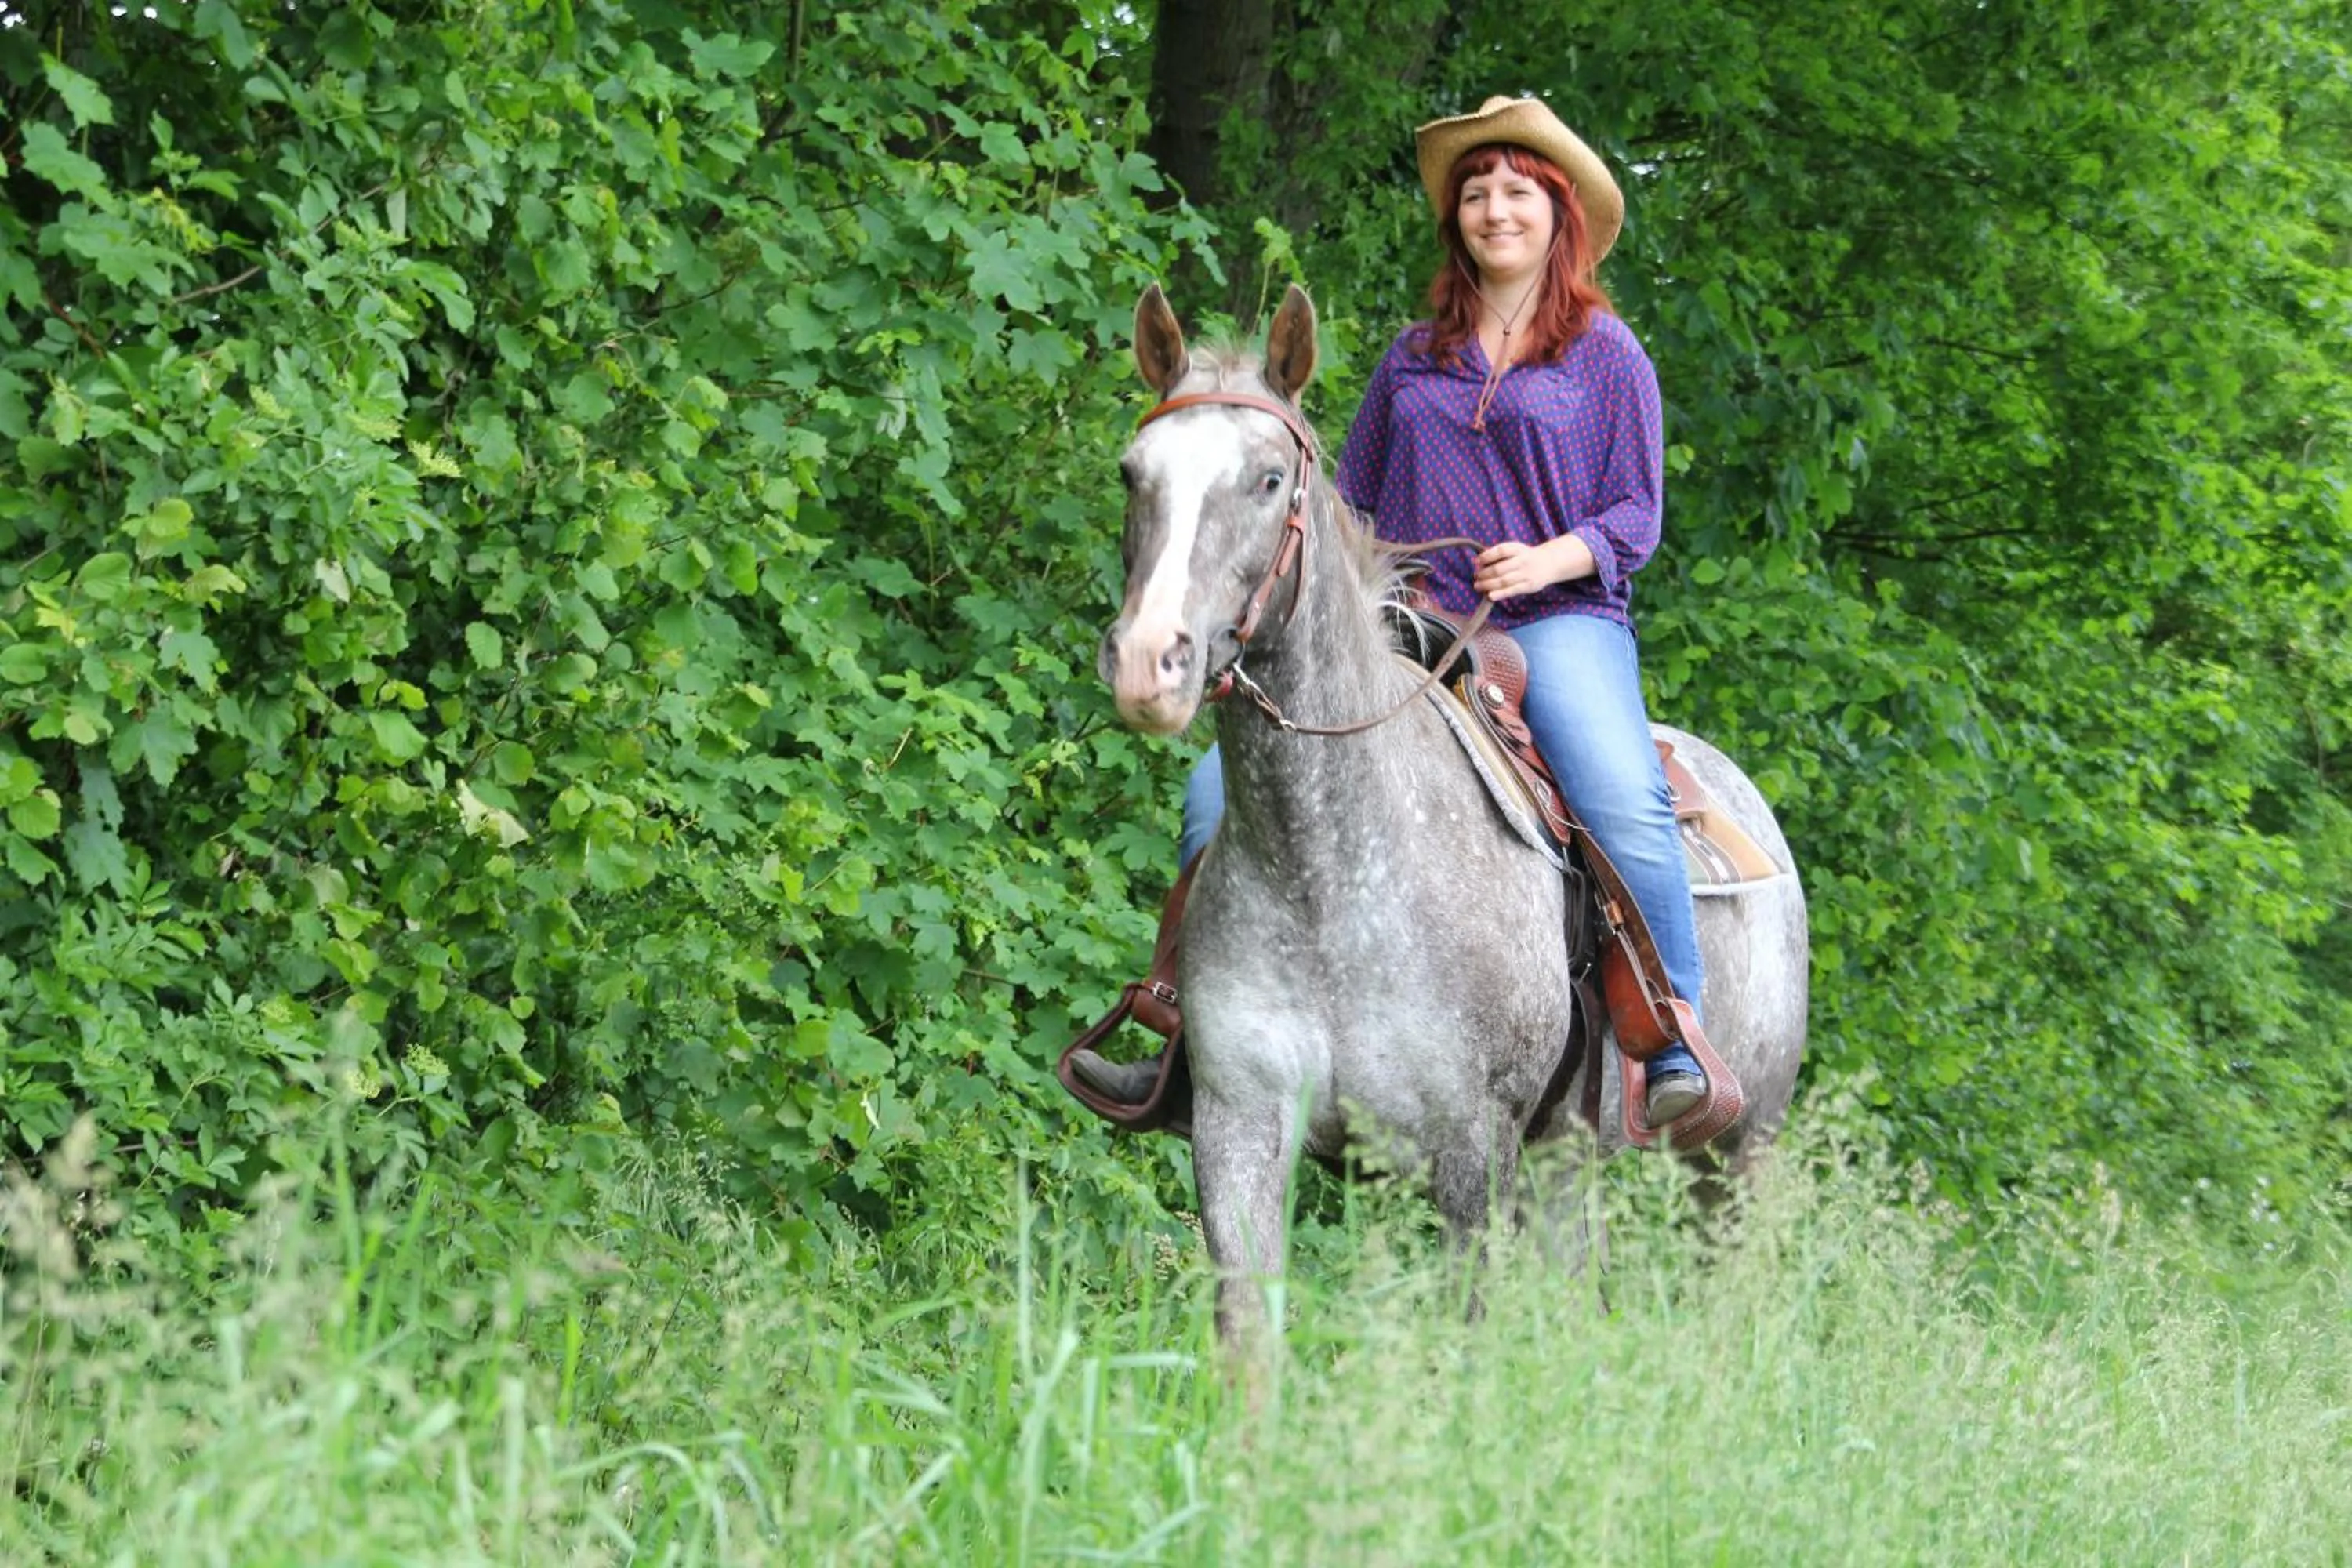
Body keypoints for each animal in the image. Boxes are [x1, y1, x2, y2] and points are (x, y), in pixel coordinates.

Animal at [1096, 282, 1808, 1346]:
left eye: (1269, 478)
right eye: (1134, 473)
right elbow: (1249, 1338)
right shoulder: (1240, 1123)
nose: (1150, 660)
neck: (1330, 870)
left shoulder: (1472, 1145)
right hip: (1570, 1156)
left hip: (1737, 1150)